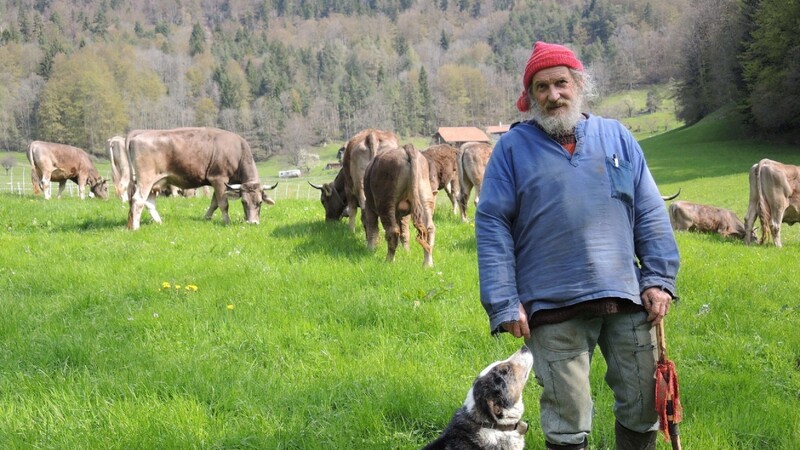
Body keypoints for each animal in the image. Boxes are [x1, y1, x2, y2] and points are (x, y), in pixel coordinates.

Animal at [124, 127, 276, 230]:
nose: (253, 223)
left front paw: (206, 218)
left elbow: (214, 203)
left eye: (260, 202)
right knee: (138, 200)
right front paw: (227, 222)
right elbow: (223, 204)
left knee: (149, 202)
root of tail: (140, 133)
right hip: (146, 179)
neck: (237, 151)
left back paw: (159, 222)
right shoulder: (219, 179)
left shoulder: (222, 184)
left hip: (156, 182)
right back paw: (135, 228)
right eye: (243, 202)